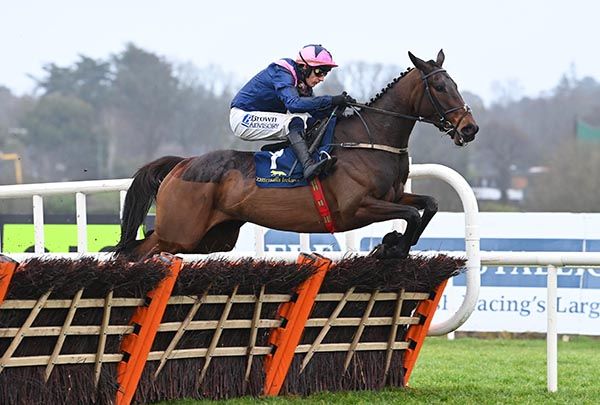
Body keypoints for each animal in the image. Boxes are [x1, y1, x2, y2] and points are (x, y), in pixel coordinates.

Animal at [113, 50, 478, 258]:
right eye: (441, 87)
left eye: (456, 84)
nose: (469, 128)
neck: (369, 140)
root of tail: (182, 164)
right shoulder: (357, 207)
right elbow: (412, 215)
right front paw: (391, 246)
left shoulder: (394, 196)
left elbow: (428, 206)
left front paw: (392, 244)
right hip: (179, 233)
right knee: (135, 252)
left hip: (211, 238)